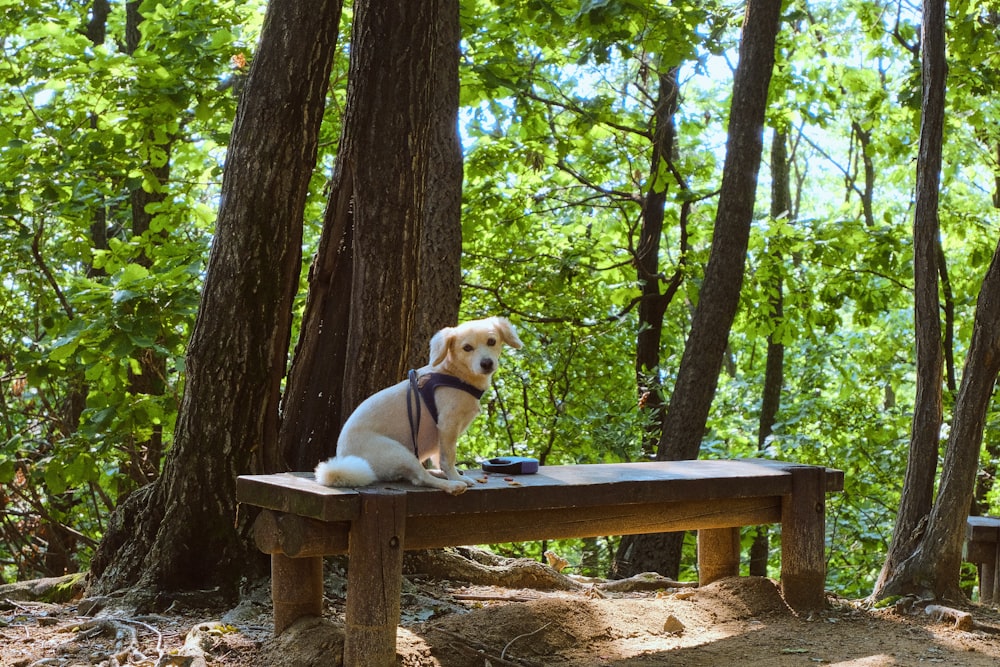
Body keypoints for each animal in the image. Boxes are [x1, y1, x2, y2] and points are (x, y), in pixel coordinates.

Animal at [316, 318, 524, 496]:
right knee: (420, 478)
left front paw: (449, 473)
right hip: (400, 451)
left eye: (491, 341)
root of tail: (344, 458)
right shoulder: (447, 426)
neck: (454, 374)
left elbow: (441, 458)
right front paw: (454, 476)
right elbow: (448, 457)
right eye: (467, 348)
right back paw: (451, 485)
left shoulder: (441, 435)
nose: (486, 363)